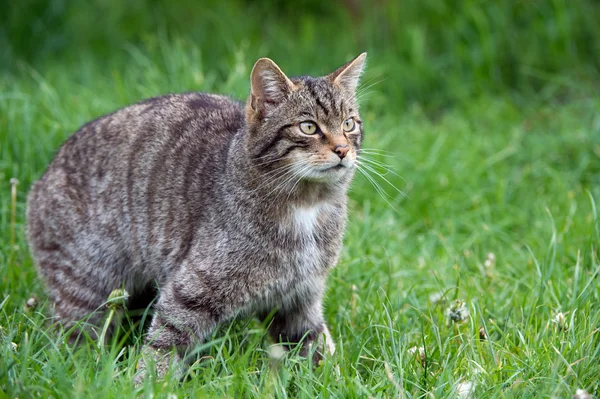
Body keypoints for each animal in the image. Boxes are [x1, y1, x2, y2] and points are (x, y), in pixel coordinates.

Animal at [27, 53, 366, 382]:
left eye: (349, 124)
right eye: (308, 127)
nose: (342, 149)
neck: (308, 206)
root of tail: (41, 179)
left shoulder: (299, 299)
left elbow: (316, 346)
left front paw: (337, 381)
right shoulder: (190, 291)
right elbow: (164, 346)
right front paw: (148, 385)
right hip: (85, 284)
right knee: (72, 340)